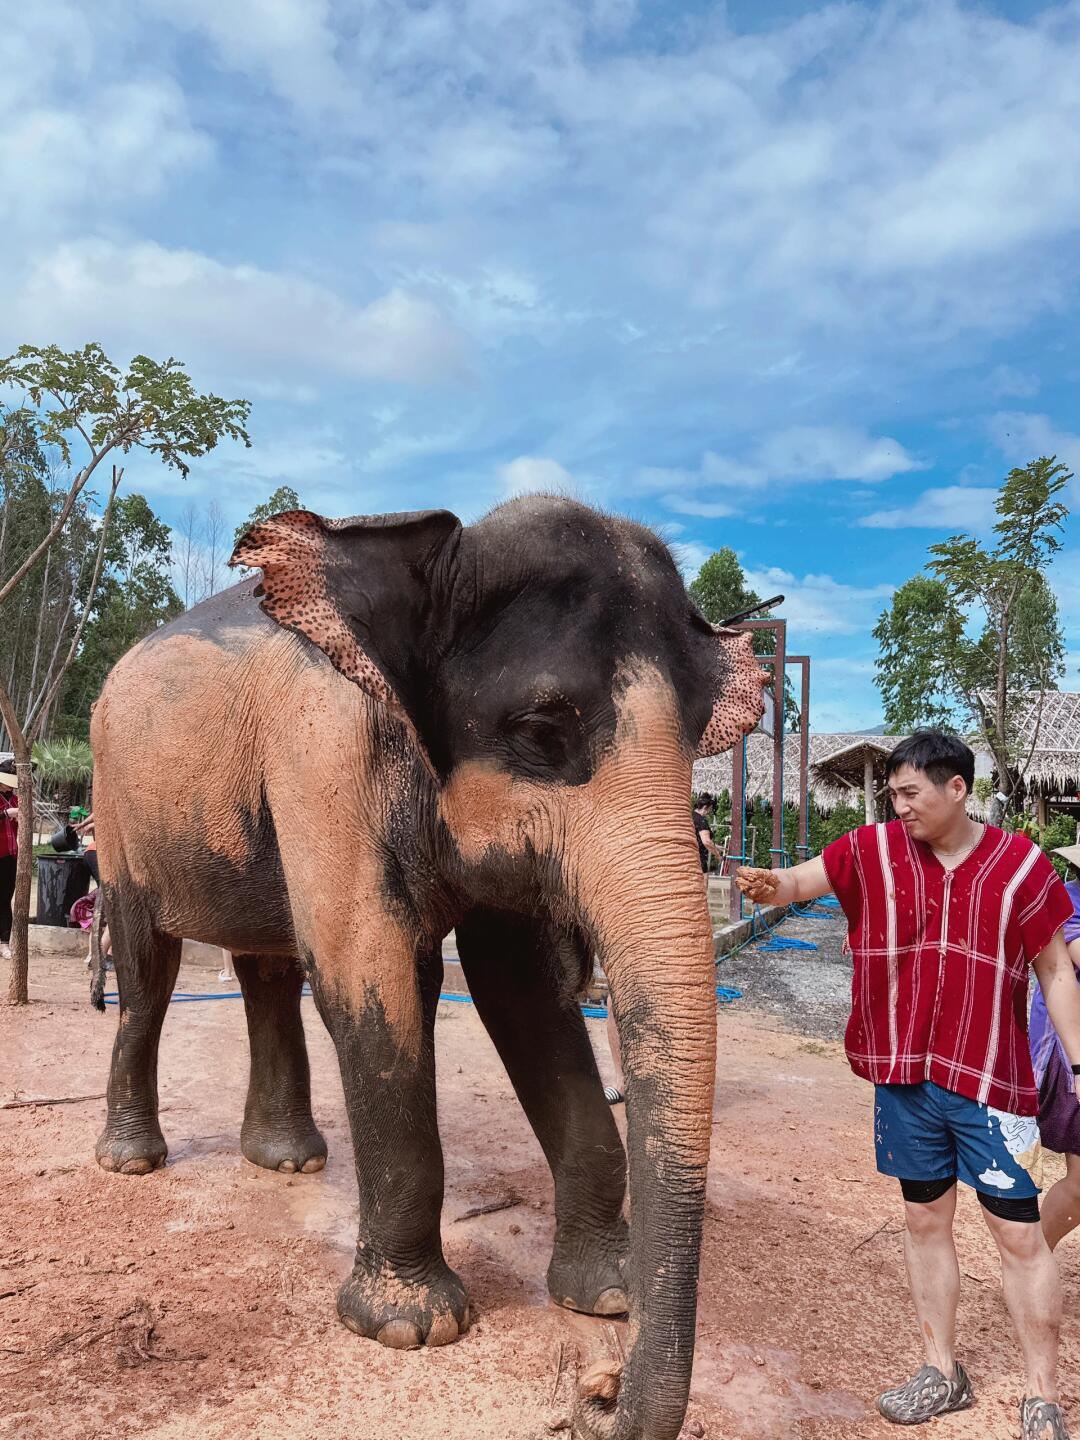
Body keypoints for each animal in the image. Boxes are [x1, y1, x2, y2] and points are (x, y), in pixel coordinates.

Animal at [89, 493, 767, 1440]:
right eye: (543, 729)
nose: (596, 1393)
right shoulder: (324, 757)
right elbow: (367, 975)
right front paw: (415, 1327)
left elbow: (522, 991)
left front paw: (604, 1297)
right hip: (116, 812)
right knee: (149, 966)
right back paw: (134, 1162)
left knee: (267, 967)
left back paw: (287, 1161)